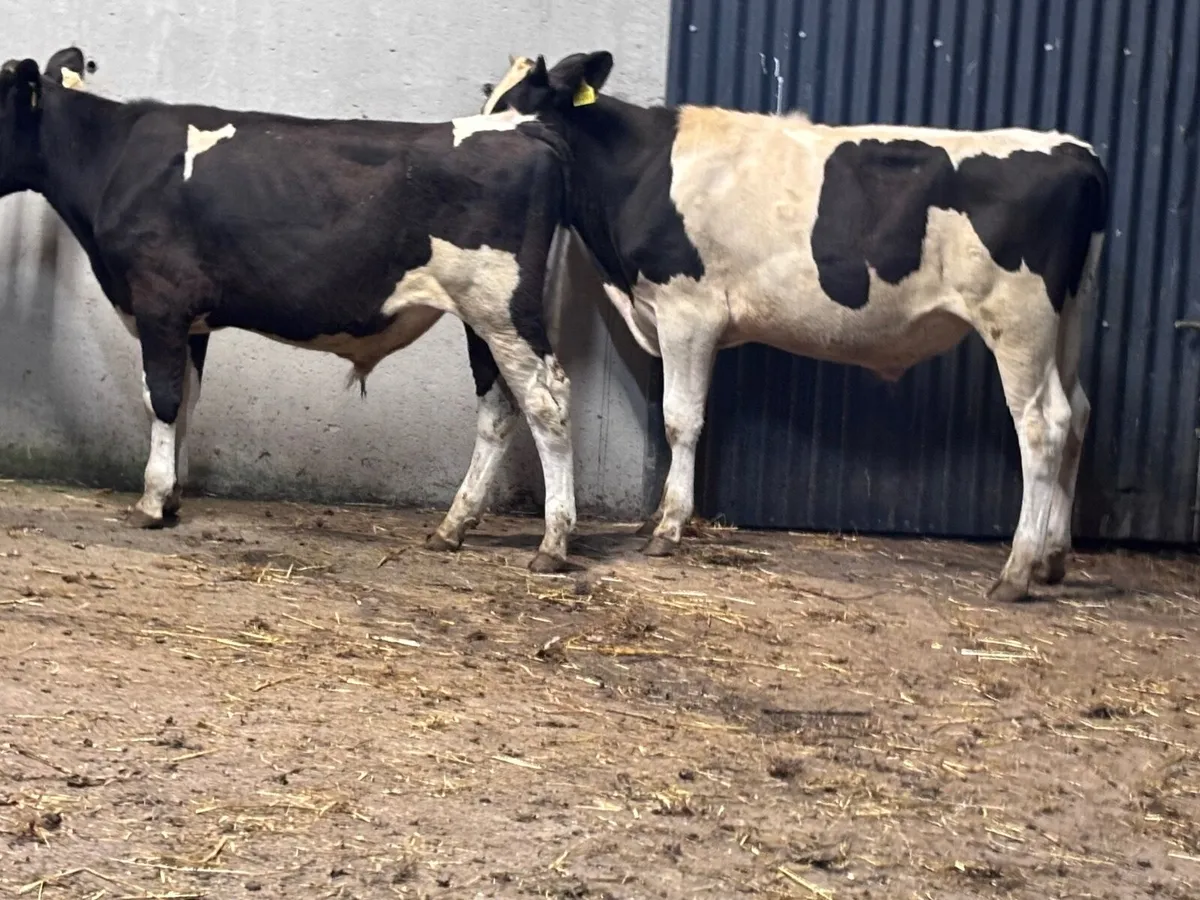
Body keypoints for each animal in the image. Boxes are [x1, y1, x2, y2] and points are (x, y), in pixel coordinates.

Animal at [0, 46, 578, 573]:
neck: (113, 159)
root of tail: (520, 129)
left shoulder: (159, 301)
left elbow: (161, 398)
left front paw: (151, 499)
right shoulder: (192, 320)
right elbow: (187, 397)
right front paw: (174, 498)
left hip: (503, 309)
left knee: (546, 402)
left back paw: (553, 543)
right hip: (481, 318)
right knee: (498, 409)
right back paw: (452, 527)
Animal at [475, 51, 1110, 603]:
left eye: (522, 111)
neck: (639, 174)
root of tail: (1075, 149)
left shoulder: (688, 310)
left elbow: (680, 419)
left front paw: (668, 529)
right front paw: (659, 518)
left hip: (1018, 318)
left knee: (1043, 424)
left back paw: (1017, 571)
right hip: (1069, 319)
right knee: (1078, 411)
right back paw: (1053, 559)